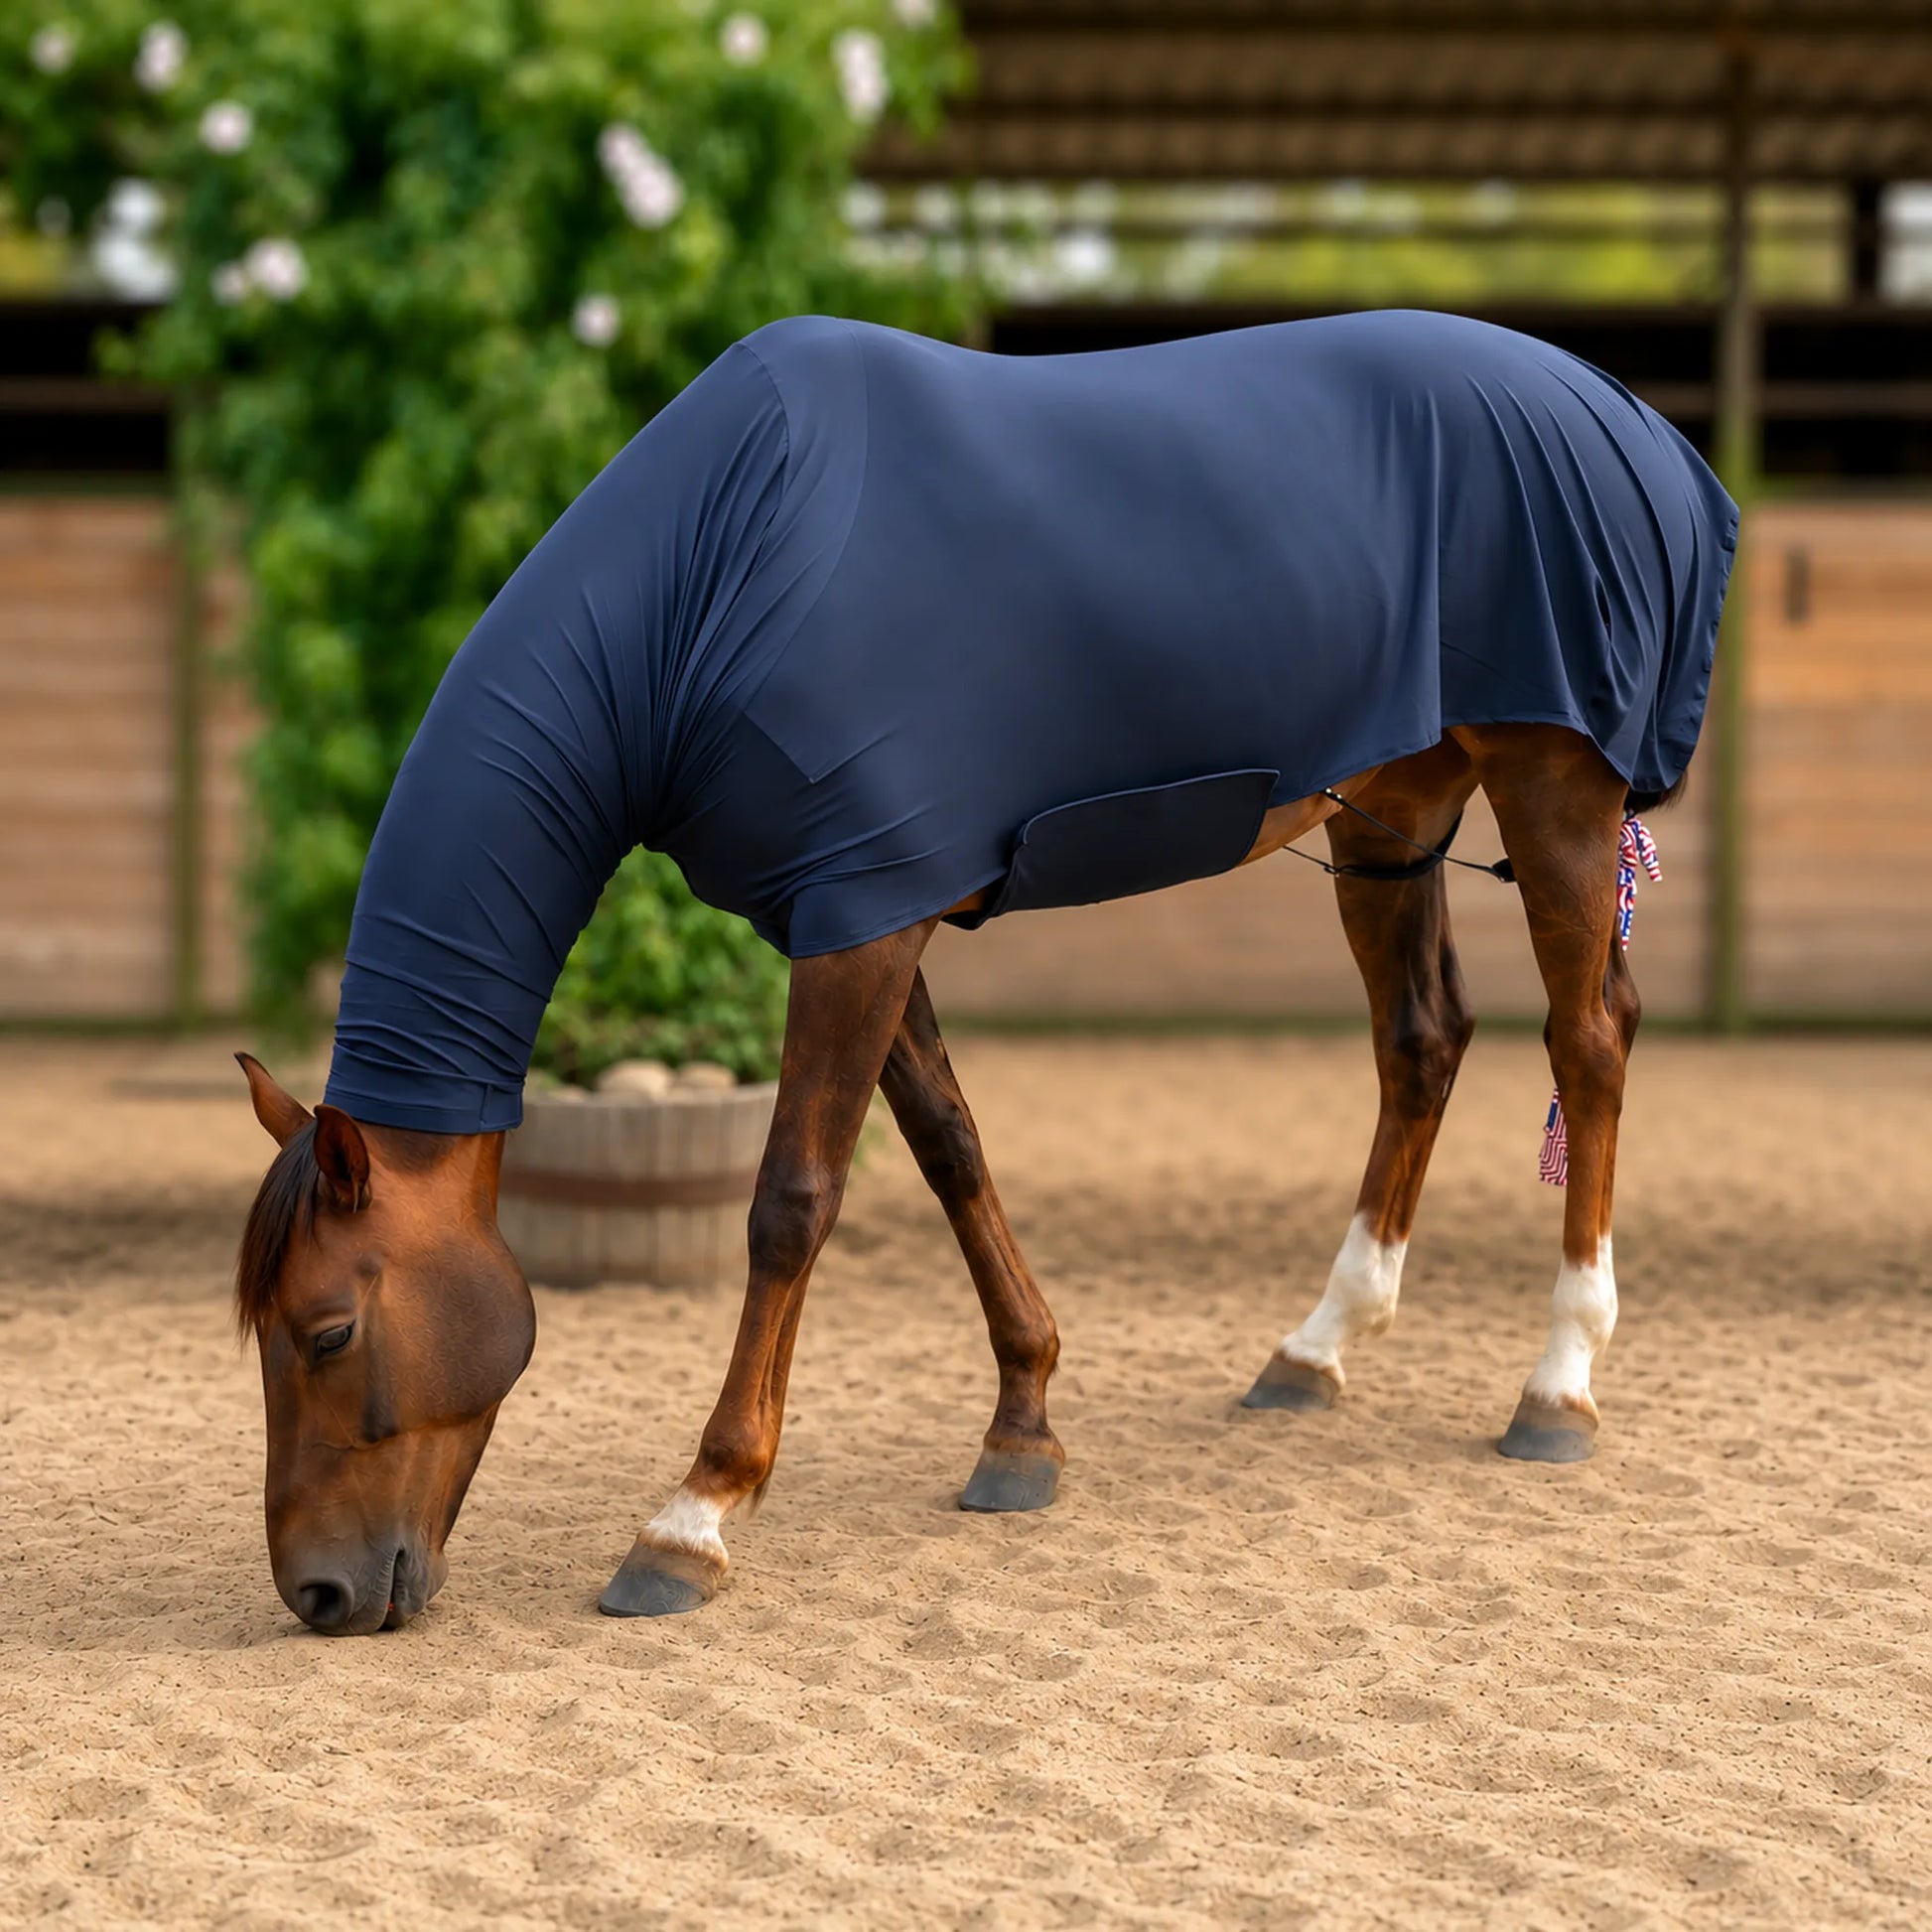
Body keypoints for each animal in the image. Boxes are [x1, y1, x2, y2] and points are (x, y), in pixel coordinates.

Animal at [233, 310, 1736, 1632]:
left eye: (325, 1330)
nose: (317, 1593)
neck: (722, 568)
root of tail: (1626, 420)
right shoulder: (868, 905)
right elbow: (951, 1147)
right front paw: (1022, 1429)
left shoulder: (855, 918)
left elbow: (791, 1202)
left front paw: (694, 1516)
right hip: (1392, 811)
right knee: (1419, 1040)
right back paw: (1312, 1350)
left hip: (1553, 786)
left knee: (1587, 1038)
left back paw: (1556, 1384)